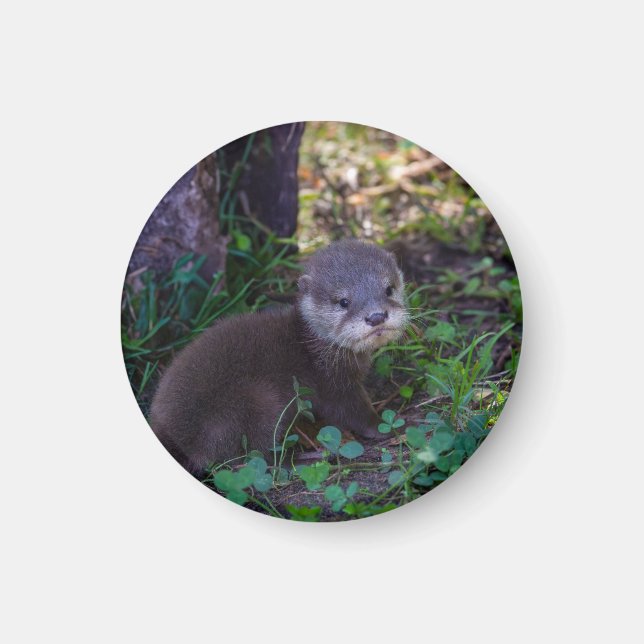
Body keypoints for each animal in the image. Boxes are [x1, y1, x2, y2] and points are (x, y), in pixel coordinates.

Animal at [149, 239, 408, 476]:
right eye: (344, 301)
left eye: (388, 289)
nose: (376, 316)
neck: (314, 347)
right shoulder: (334, 385)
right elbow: (353, 413)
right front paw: (383, 427)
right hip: (254, 403)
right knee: (258, 457)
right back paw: (303, 460)